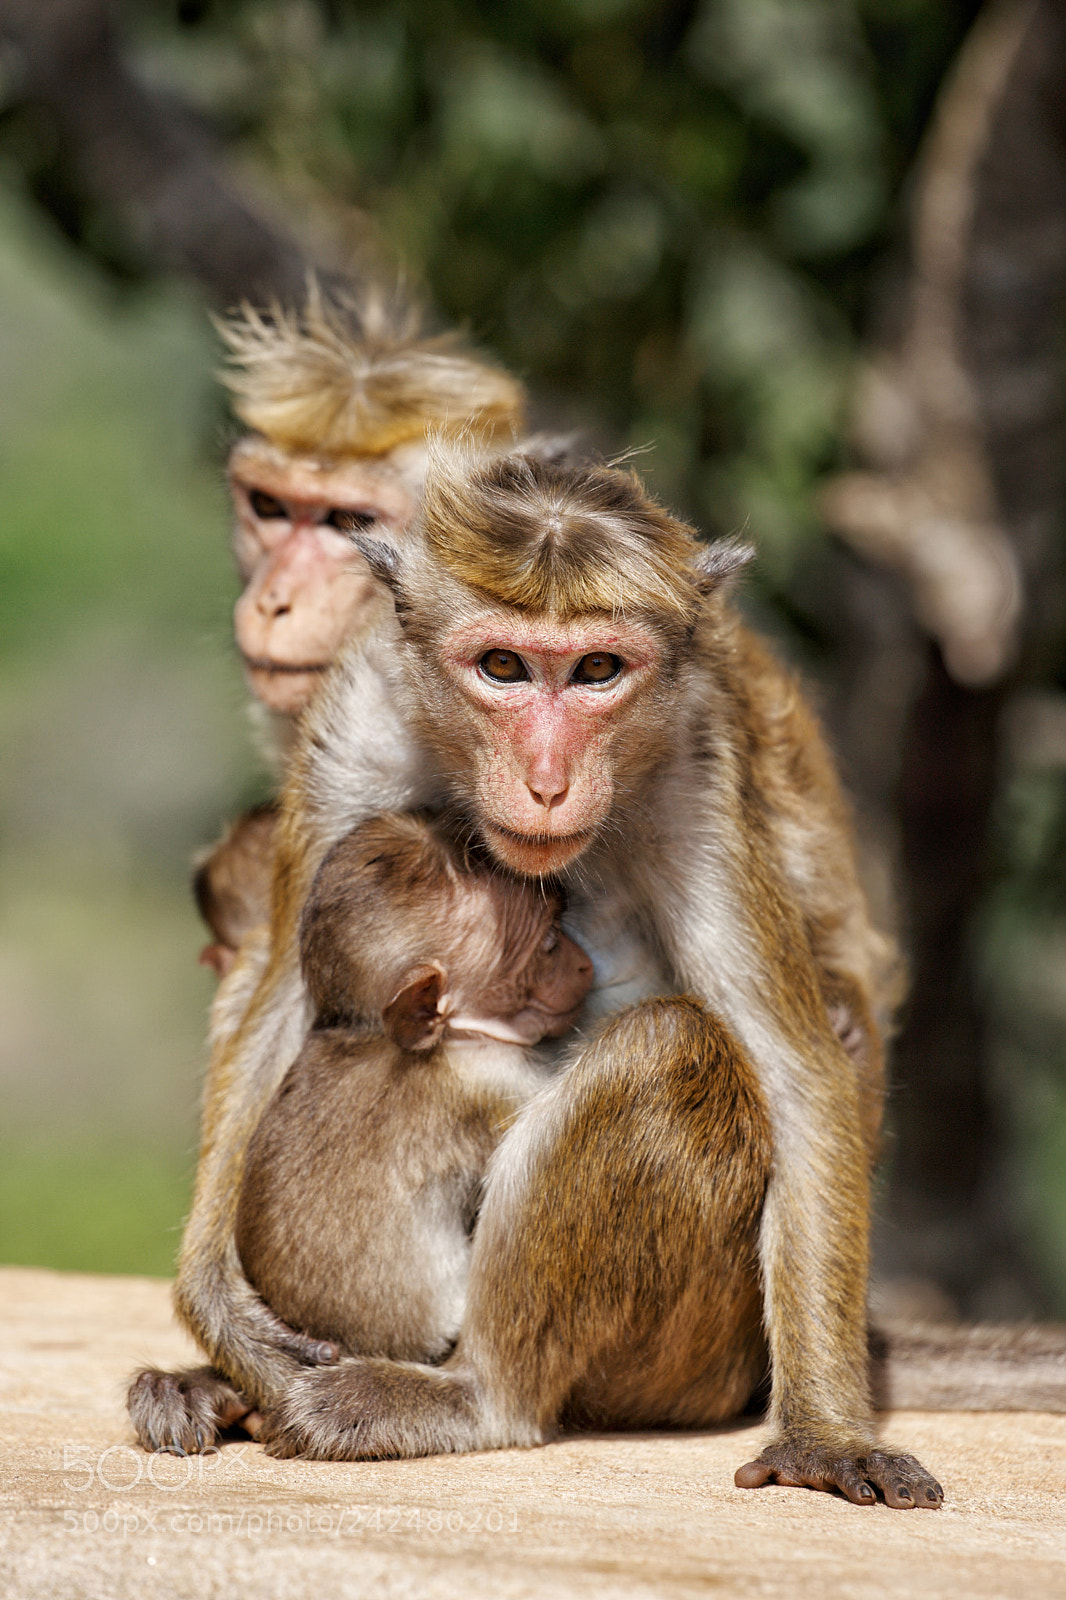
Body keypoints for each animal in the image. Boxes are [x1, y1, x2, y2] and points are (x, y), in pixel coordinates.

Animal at [130, 446, 954, 1507]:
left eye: (598, 670)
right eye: (502, 667)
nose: (549, 781)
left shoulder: (695, 757)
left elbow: (797, 1070)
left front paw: (827, 1435)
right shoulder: (360, 713)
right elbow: (279, 991)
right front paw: (220, 1315)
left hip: (696, 1355)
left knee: (670, 1048)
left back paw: (481, 1398)